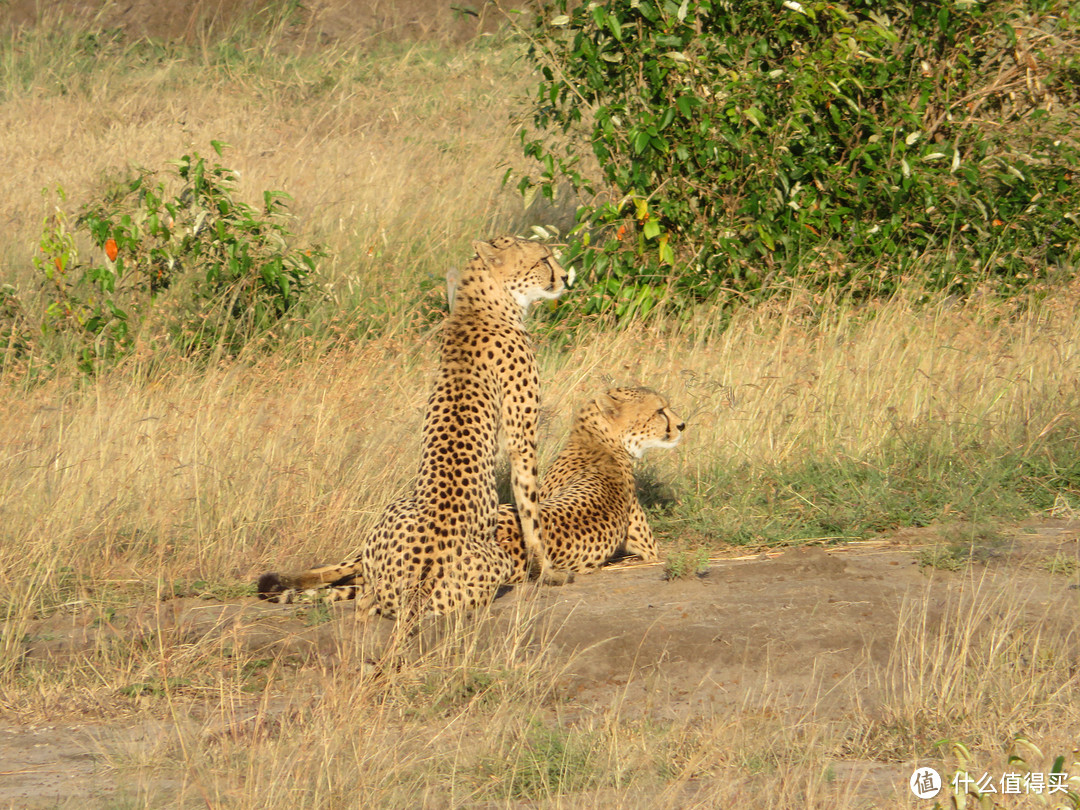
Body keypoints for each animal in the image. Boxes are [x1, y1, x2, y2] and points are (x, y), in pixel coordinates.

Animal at [258, 237, 574, 617]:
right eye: (543, 258)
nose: (565, 278)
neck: (481, 304)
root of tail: (416, 584)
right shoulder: (522, 437)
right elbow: (530, 508)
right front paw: (549, 572)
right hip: (493, 560)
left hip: (391, 514)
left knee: (362, 597)